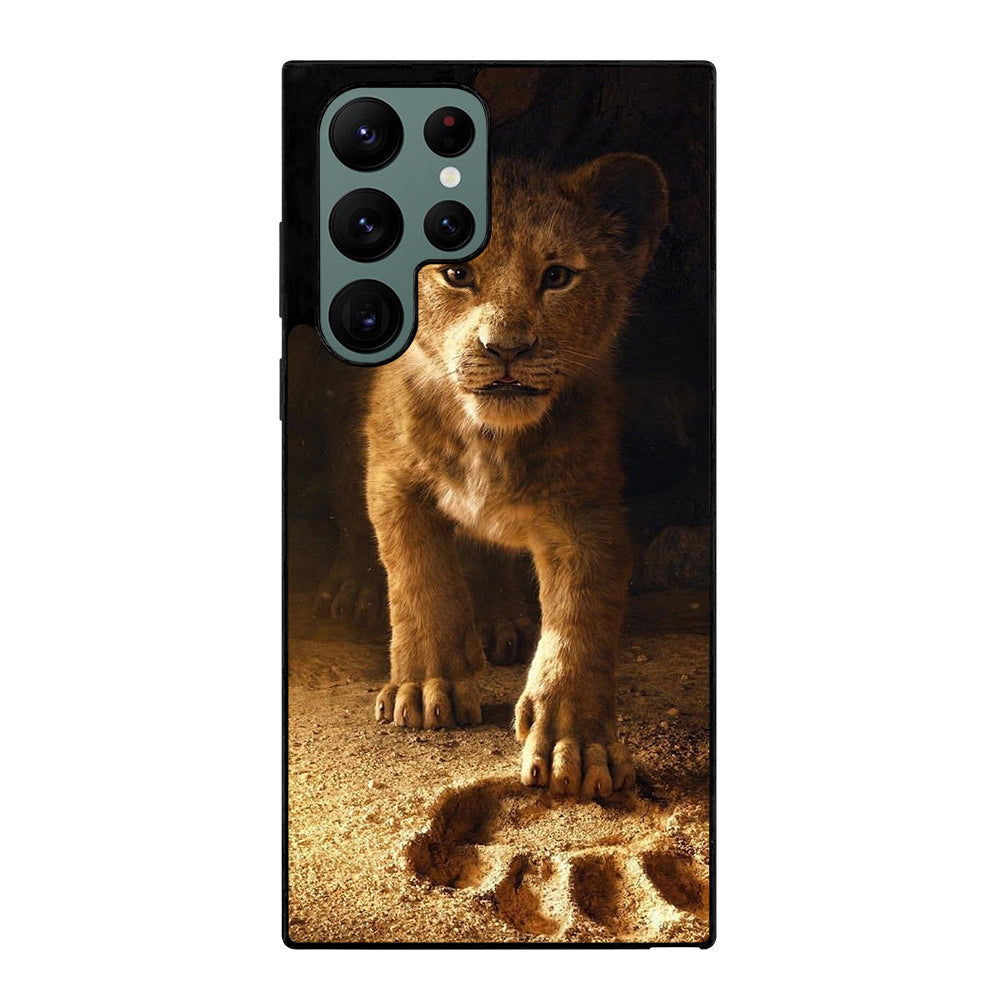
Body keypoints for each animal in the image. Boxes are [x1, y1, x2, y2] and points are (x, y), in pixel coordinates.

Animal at [367, 154, 669, 798]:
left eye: (557, 276)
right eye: (456, 273)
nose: (506, 348)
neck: (490, 438)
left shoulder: (587, 511)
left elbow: (580, 620)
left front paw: (575, 745)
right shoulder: (391, 475)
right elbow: (419, 576)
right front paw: (426, 686)